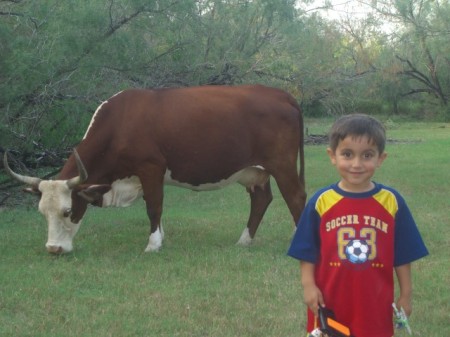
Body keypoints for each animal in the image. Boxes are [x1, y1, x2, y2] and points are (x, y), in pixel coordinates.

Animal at [3, 84, 306, 252]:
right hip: (255, 172)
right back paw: (244, 241)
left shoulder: (151, 168)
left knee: (295, 198)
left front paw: (153, 244)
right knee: (262, 200)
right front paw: (160, 237)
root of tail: (280, 94)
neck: (121, 122)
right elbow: (157, 207)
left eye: (67, 211)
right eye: (42, 212)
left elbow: (153, 206)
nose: (53, 249)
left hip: (282, 165)